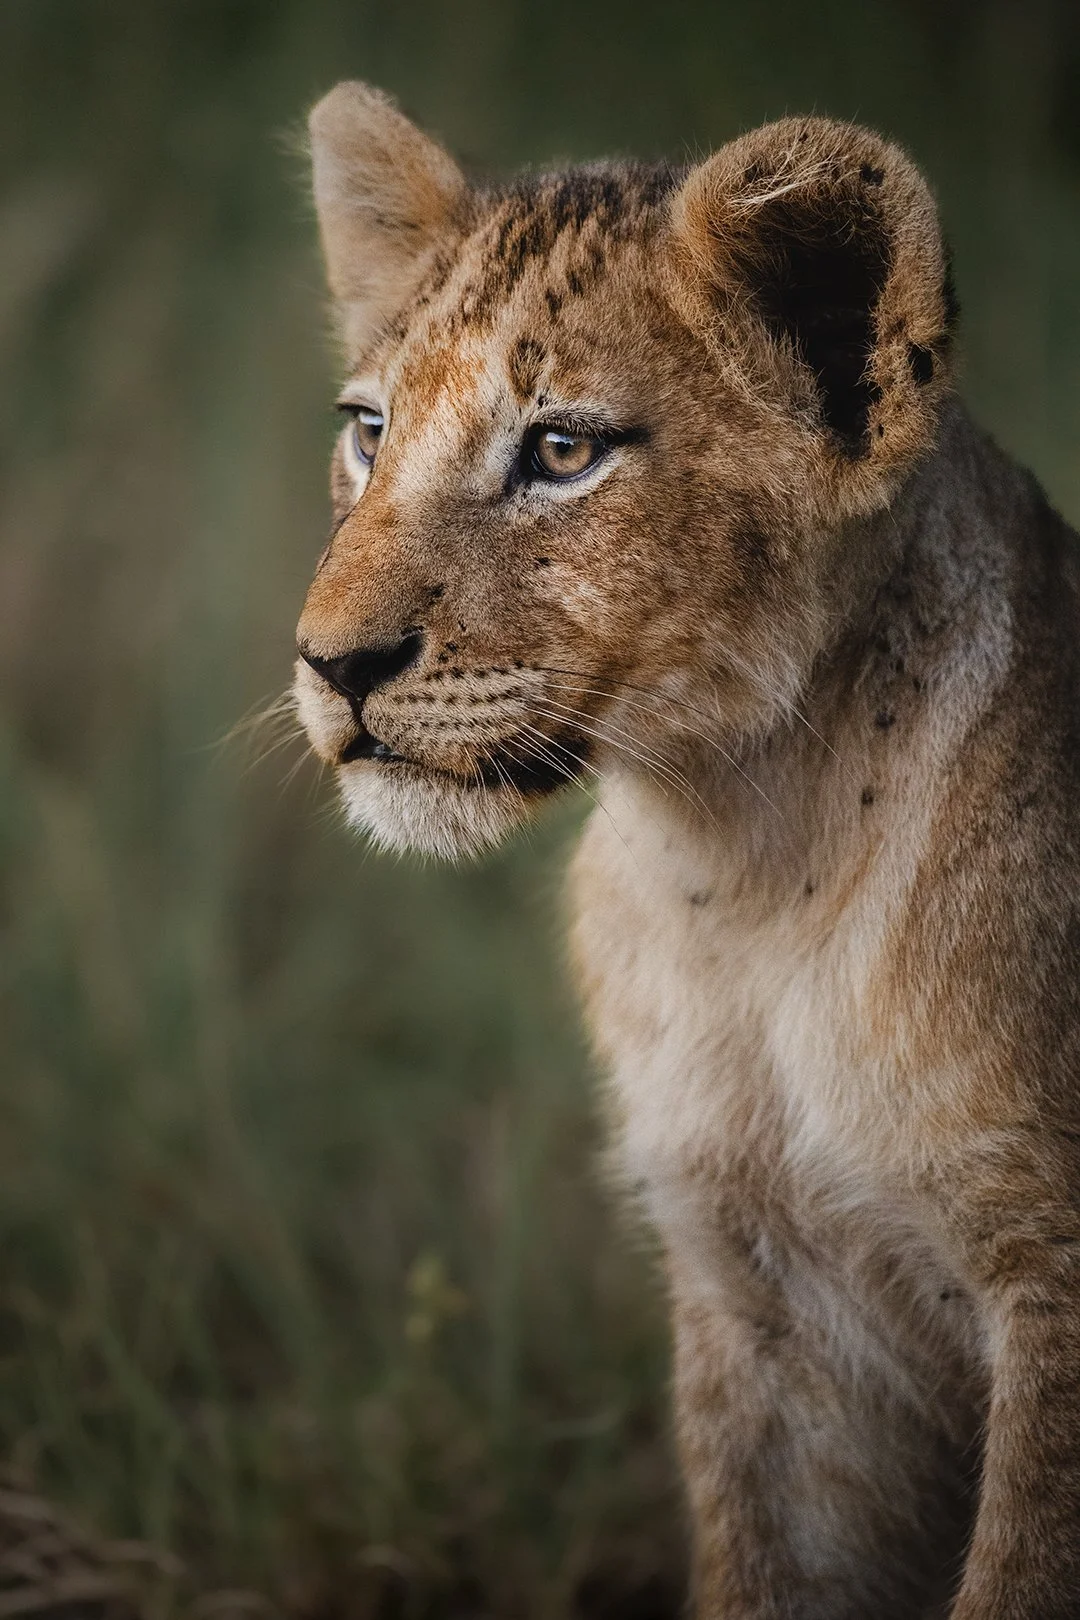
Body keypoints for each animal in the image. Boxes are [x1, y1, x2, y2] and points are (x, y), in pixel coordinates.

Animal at [293, 82, 1080, 1618]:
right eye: (367, 428)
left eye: (560, 451)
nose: (330, 665)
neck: (737, 866)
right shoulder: (757, 1290)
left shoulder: (1054, 1280)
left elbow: (1024, 1566)